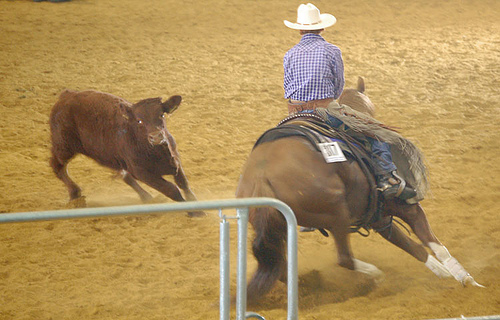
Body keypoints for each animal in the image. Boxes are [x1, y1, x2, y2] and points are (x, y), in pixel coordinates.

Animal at [236, 79, 482, 304]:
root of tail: (261, 177)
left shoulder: (378, 217)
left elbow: (411, 246)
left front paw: (444, 273)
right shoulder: (406, 207)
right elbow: (434, 244)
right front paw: (467, 280)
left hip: (281, 227)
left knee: (282, 268)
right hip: (336, 214)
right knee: (344, 258)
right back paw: (376, 276)